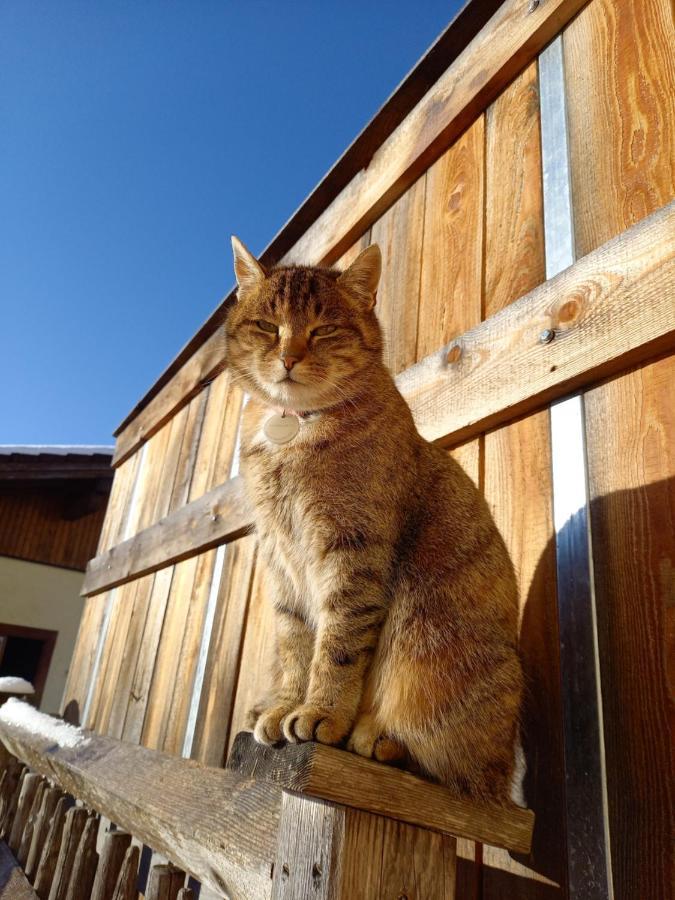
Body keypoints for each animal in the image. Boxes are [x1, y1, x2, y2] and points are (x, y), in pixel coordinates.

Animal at [226, 236, 524, 804]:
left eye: (323, 329)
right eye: (268, 327)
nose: (288, 357)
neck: (291, 434)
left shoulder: (353, 549)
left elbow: (338, 645)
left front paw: (320, 712)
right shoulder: (280, 558)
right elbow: (295, 642)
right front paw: (286, 705)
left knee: (458, 770)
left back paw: (379, 738)